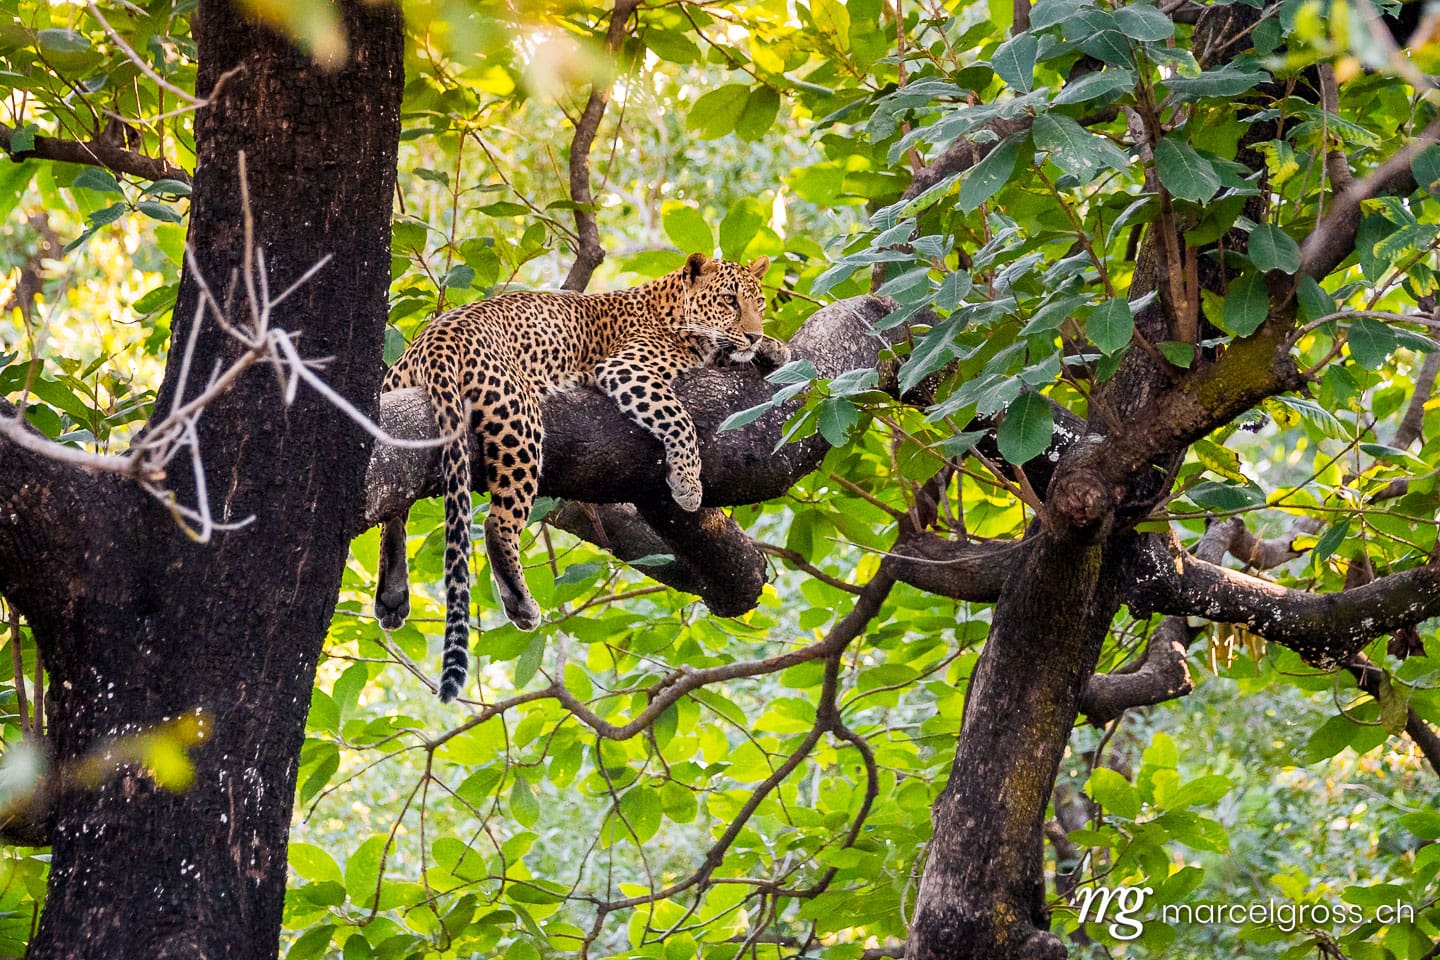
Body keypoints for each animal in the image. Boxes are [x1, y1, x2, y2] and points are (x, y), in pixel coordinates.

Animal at [374, 252, 790, 702]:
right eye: (729, 300)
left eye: (759, 303)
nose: (752, 334)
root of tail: (433, 338)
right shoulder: (627, 368)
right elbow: (679, 418)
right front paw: (687, 484)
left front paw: (774, 347)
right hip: (519, 418)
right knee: (497, 523)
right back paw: (520, 601)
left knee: (393, 506)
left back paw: (393, 595)